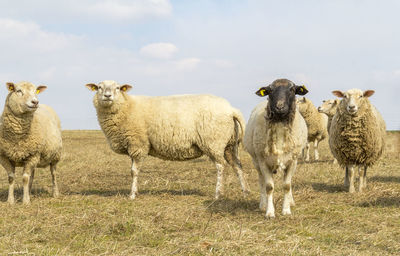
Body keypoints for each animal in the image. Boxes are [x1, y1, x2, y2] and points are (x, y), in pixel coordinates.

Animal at [85, 80, 248, 200]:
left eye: (118, 88)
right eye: (99, 87)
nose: (107, 96)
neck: (126, 106)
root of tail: (231, 109)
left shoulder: (138, 144)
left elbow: (134, 171)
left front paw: (132, 195)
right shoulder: (134, 145)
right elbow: (133, 170)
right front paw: (135, 192)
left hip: (213, 141)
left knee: (221, 166)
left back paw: (218, 194)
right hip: (229, 144)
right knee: (237, 165)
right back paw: (245, 192)